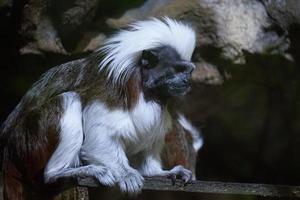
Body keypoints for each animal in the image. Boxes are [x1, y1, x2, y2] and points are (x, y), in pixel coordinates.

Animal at [1, 17, 197, 198]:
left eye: (188, 71)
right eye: (179, 70)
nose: (187, 81)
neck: (145, 89)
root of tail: (8, 149)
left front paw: (162, 172)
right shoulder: (111, 93)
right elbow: (99, 137)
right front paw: (126, 173)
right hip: (29, 145)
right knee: (68, 99)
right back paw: (64, 172)